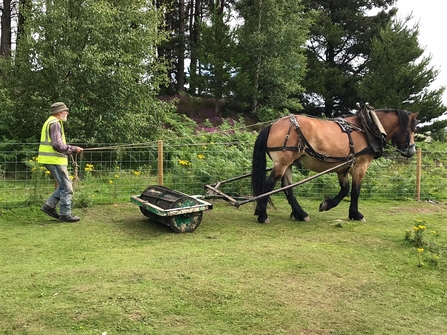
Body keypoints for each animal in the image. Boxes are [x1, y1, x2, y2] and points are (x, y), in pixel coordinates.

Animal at [252, 106, 420, 224]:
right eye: (412, 129)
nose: (412, 150)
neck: (367, 129)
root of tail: (272, 125)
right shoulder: (360, 167)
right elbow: (355, 191)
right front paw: (356, 214)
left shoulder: (343, 168)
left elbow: (345, 190)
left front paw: (327, 204)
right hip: (282, 163)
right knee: (268, 186)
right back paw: (263, 215)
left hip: (288, 164)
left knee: (287, 188)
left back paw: (301, 214)